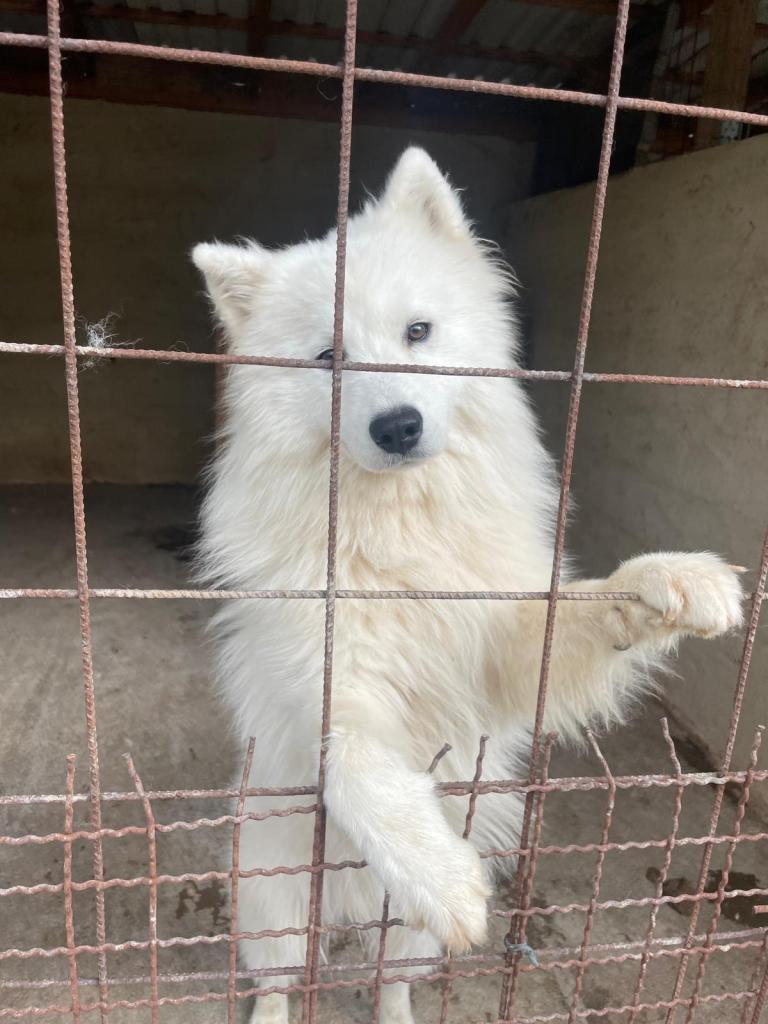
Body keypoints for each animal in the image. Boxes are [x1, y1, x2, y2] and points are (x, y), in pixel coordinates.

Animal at [192, 147, 744, 1024]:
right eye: (329, 358)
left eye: (418, 332)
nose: (397, 426)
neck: (400, 531)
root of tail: (352, 899)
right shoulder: (327, 682)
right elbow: (357, 764)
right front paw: (439, 875)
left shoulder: (503, 648)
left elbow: (583, 609)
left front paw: (668, 579)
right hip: (270, 892)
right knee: (280, 979)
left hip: (401, 931)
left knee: (389, 977)